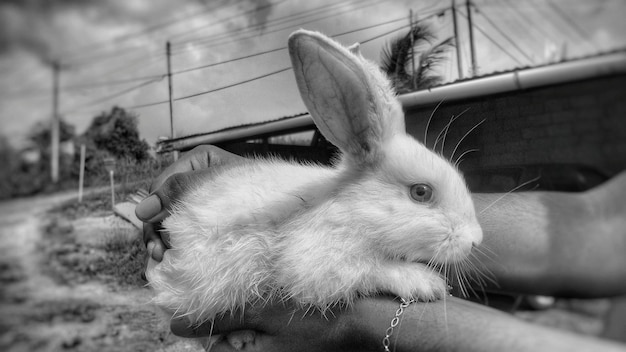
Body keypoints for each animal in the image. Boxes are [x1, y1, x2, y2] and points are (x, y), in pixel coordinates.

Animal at [146, 29, 482, 330]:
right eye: (421, 192)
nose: (476, 240)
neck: (353, 207)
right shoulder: (320, 258)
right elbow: (370, 269)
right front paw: (425, 281)